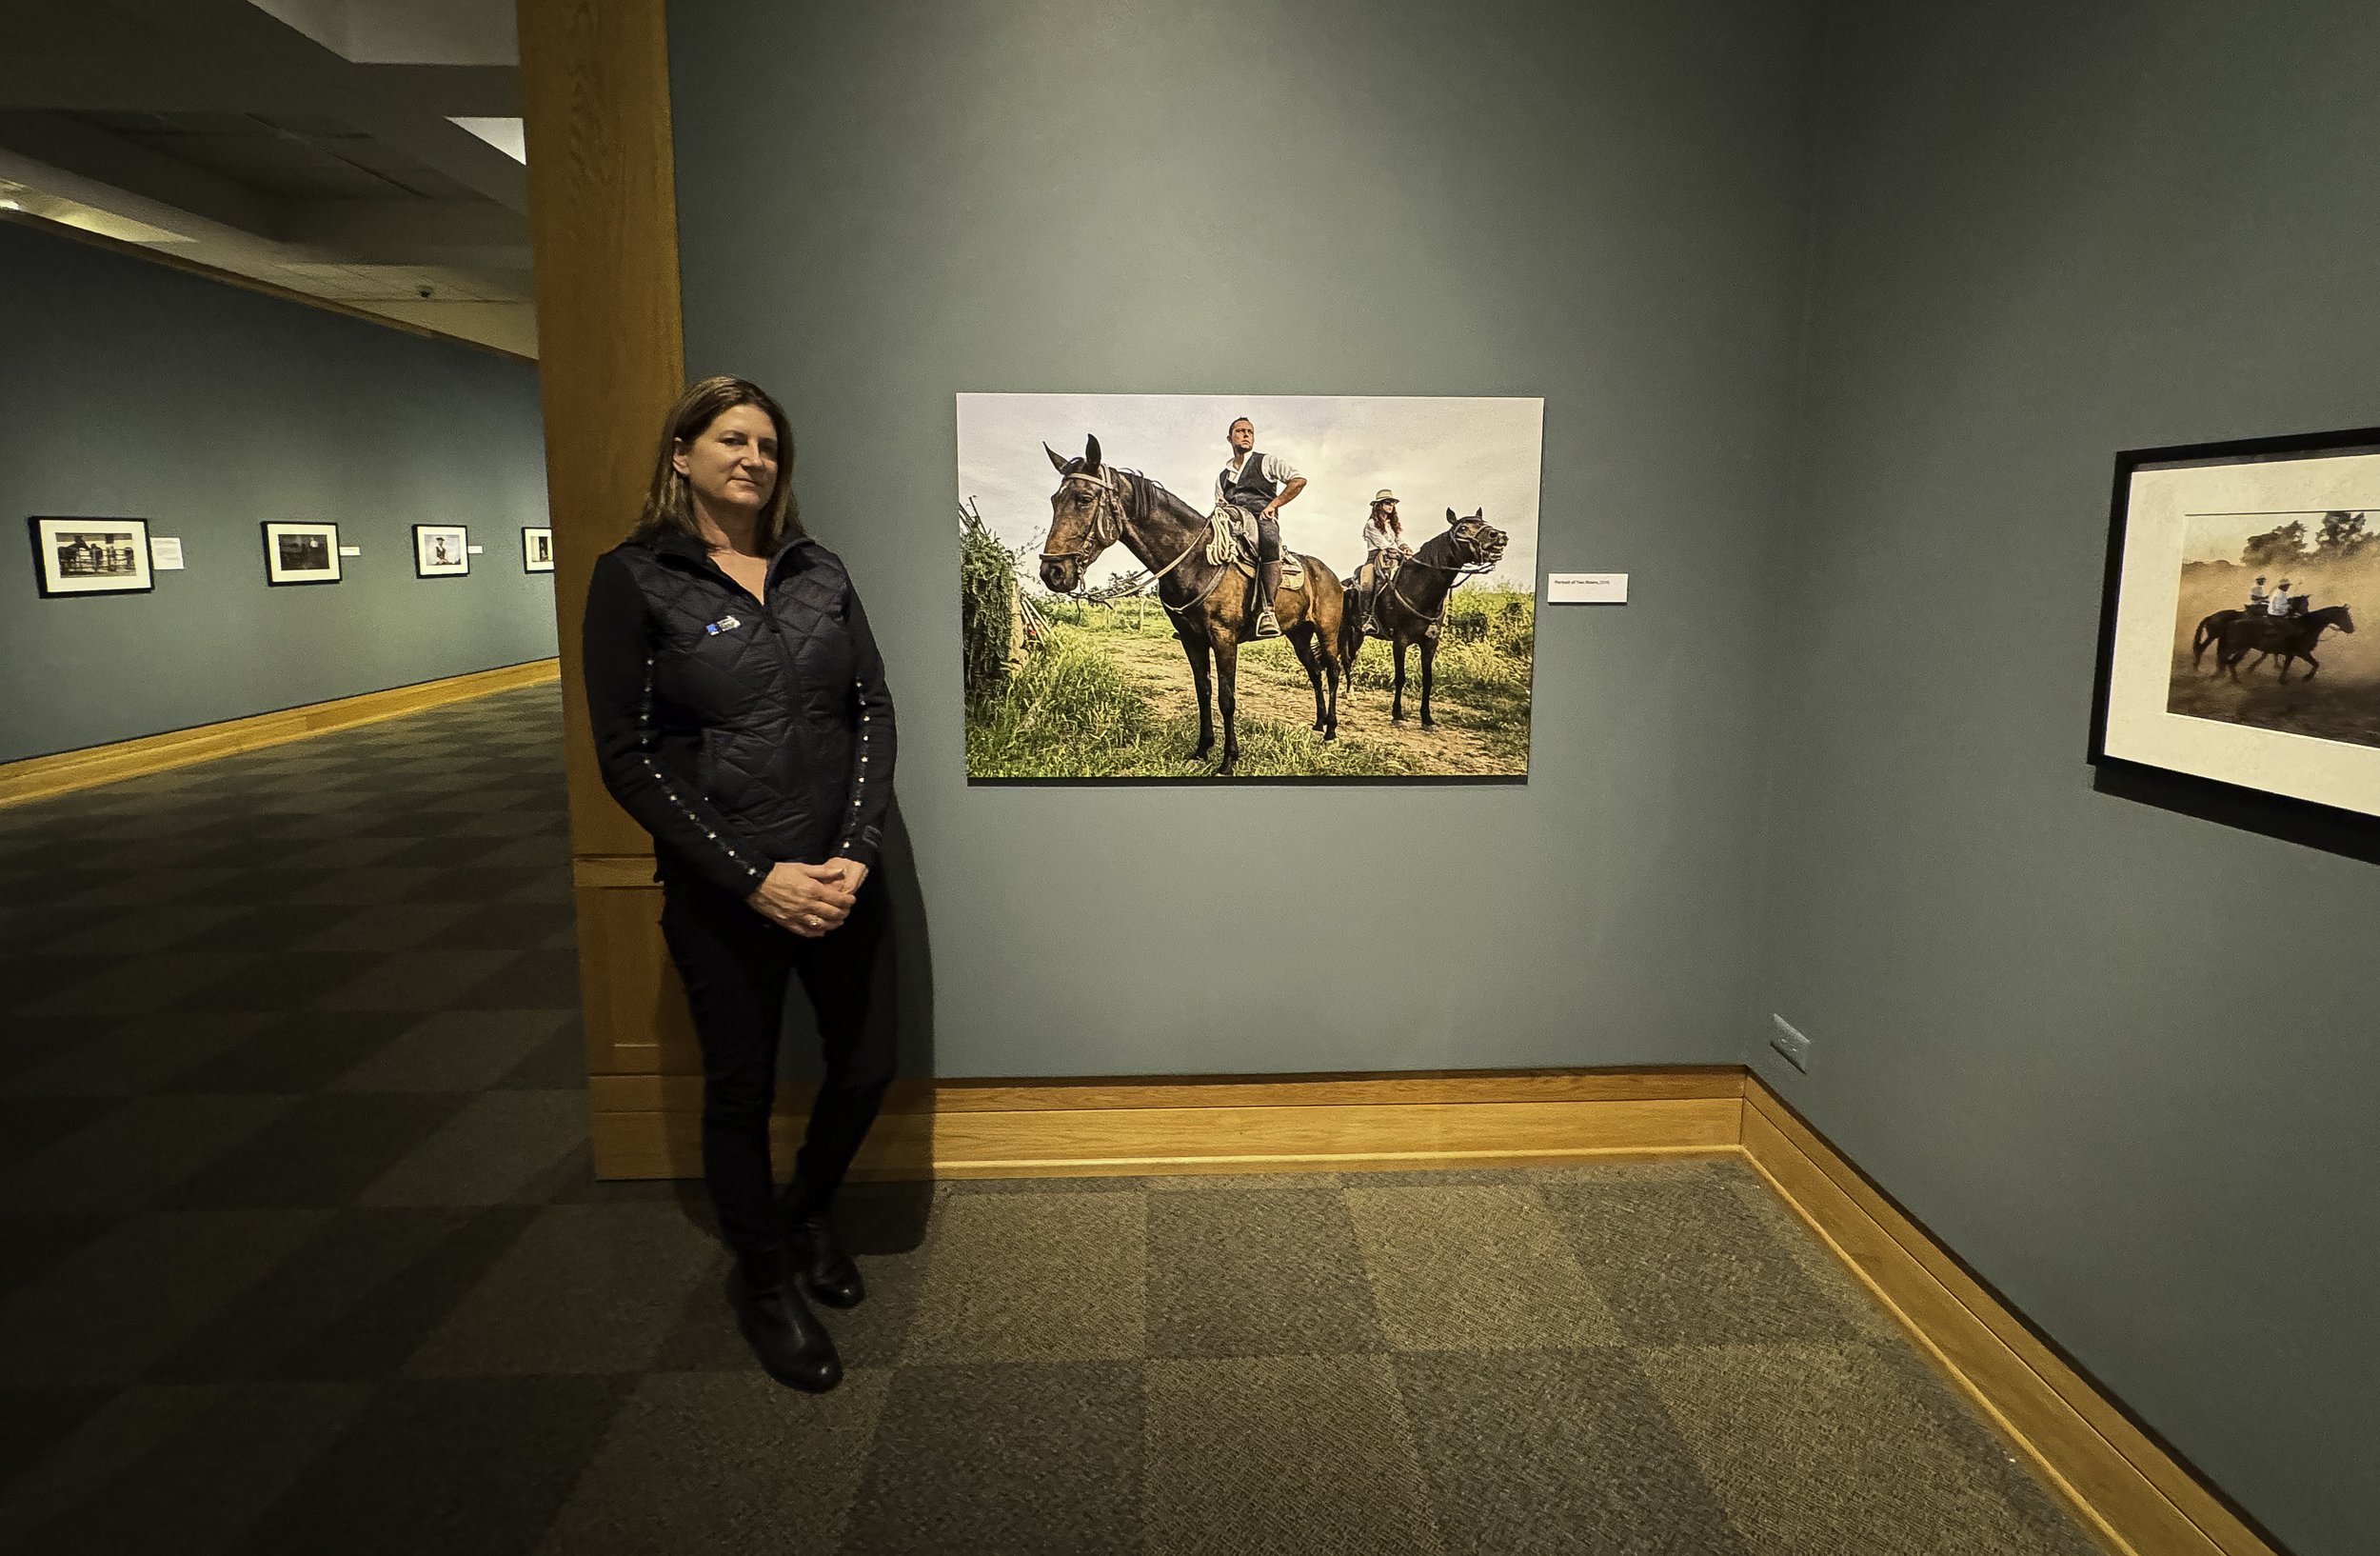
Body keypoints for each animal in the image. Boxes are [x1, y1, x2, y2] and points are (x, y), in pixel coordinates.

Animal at [1038, 435, 1352, 775]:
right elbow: (1203, 692)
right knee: (1314, 671)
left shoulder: (1224, 638)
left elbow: (1226, 698)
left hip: (1326, 631)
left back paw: (1331, 730)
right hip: (1298, 633)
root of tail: (1332, 576)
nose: (1052, 572)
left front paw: (1228, 760)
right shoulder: (1191, 639)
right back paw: (1319, 723)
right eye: (1054, 500)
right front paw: (1202, 749)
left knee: (1332, 671)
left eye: (1084, 498)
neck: (1196, 561)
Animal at [1342, 511, 1504, 732]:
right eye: (1462, 528)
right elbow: (1400, 678)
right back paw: (1349, 695)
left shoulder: (1430, 642)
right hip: (1352, 632)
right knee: (1347, 659)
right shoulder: (1400, 641)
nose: (1499, 537)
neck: (1418, 589)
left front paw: (1427, 719)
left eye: (1484, 523)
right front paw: (1397, 715)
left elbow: (1428, 680)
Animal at [2199, 607, 2351, 685]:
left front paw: (2282, 678)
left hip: (2241, 648)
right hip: (2233, 646)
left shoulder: (2292, 653)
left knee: (2230, 661)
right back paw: (2216, 673)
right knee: (2221, 657)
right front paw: (2306, 677)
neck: (2305, 627)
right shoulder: (2302, 652)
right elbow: (2315, 663)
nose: (2352, 628)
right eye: (2345, 616)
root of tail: (2231, 623)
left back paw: (2234, 678)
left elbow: (2287, 665)